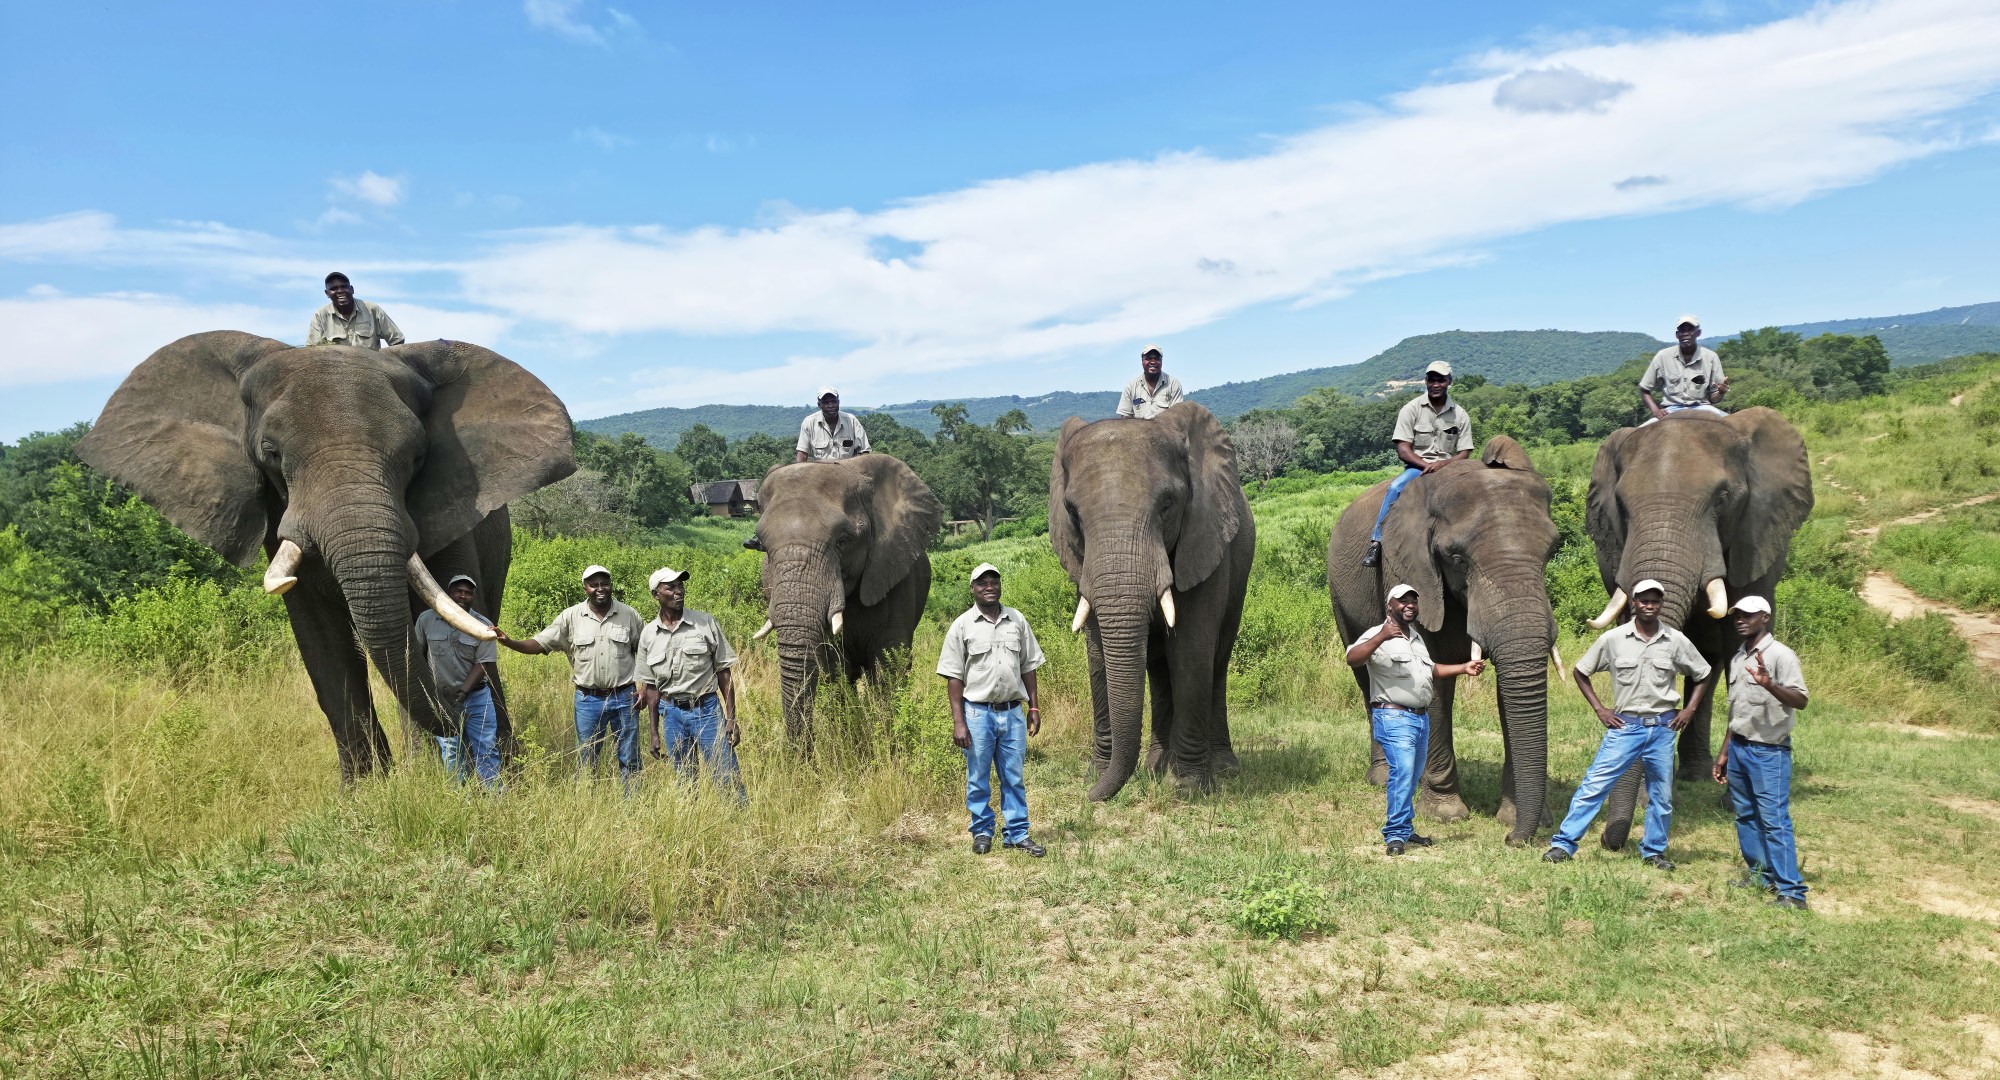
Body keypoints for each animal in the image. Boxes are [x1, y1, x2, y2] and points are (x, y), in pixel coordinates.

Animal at [76, 332, 575, 779]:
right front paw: (365, 794)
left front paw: (477, 779)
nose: (457, 713)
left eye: (417, 458)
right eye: (271, 454)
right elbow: (321, 642)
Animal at [746, 454, 943, 750]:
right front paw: (851, 741)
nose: (804, 756)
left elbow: (887, 667)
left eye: (843, 541)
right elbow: (836, 669)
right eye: (763, 547)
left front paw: (887, 746)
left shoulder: (895, 573)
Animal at [1048, 403, 1255, 800]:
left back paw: (1223, 768)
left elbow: (1190, 649)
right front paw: (1097, 774)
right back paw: (1156, 766)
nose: (1089, 798)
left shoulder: (1203, 540)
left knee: (1217, 662)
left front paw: (1188, 788)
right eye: (1073, 512)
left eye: (1167, 504)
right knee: (1159, 671)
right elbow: (1097, 656)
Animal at [1328, 436, 1562, 845]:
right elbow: (1430, 678)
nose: (1514, 840)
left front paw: (1512, 817)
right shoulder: (1405, 566)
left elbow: (1507, 688)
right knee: (1365, 680)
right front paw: (1446, 815)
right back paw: (1384, 778)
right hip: (1339, 593)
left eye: (1552, 551)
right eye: (1457, 558)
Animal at [1583, 407, 1813, 848]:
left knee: (1711, 655)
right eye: (1621, 503)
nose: (1610, 840)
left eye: (1723, 498)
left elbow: (1738, 638)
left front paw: (1733, 799)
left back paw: (1698, 775)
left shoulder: (1756, 535)